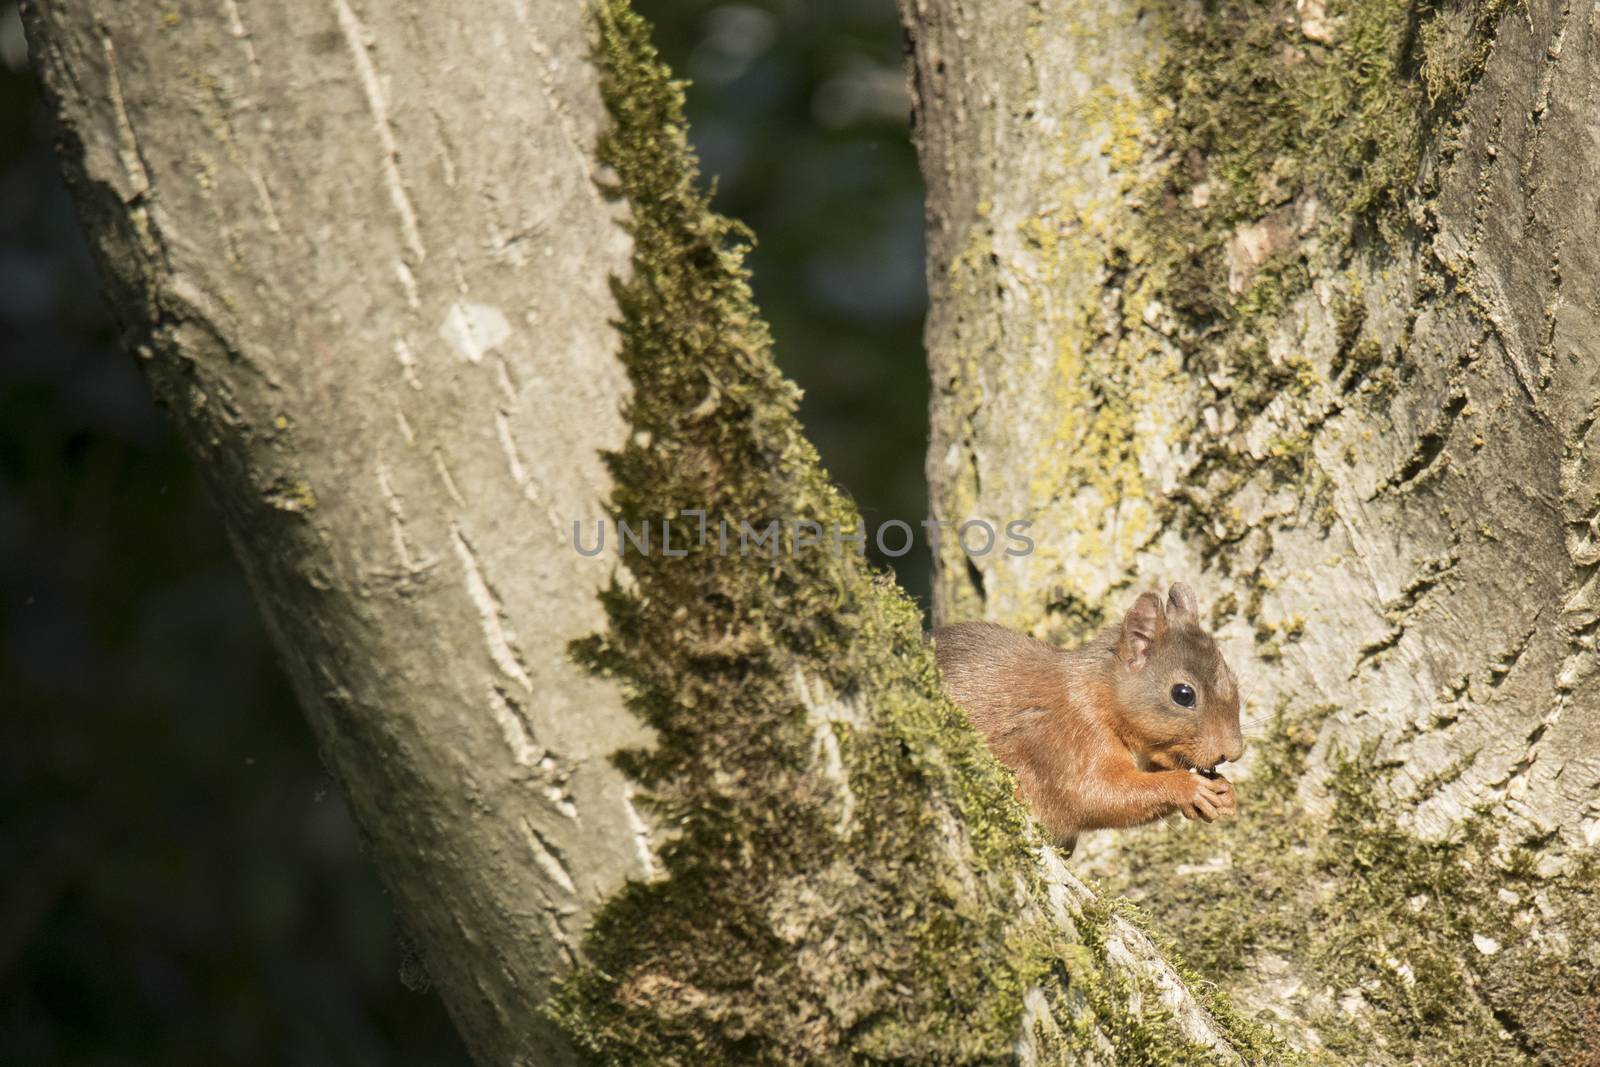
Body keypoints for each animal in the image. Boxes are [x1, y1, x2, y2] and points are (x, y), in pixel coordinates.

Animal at [934, 585, 1241, 851]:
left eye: (1234, 679)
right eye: (1183, 694)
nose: (1233, 752)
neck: (1100, 695)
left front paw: (1226, 791)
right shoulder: (1068, 738)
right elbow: (1093, 795)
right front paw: (1188, 788)